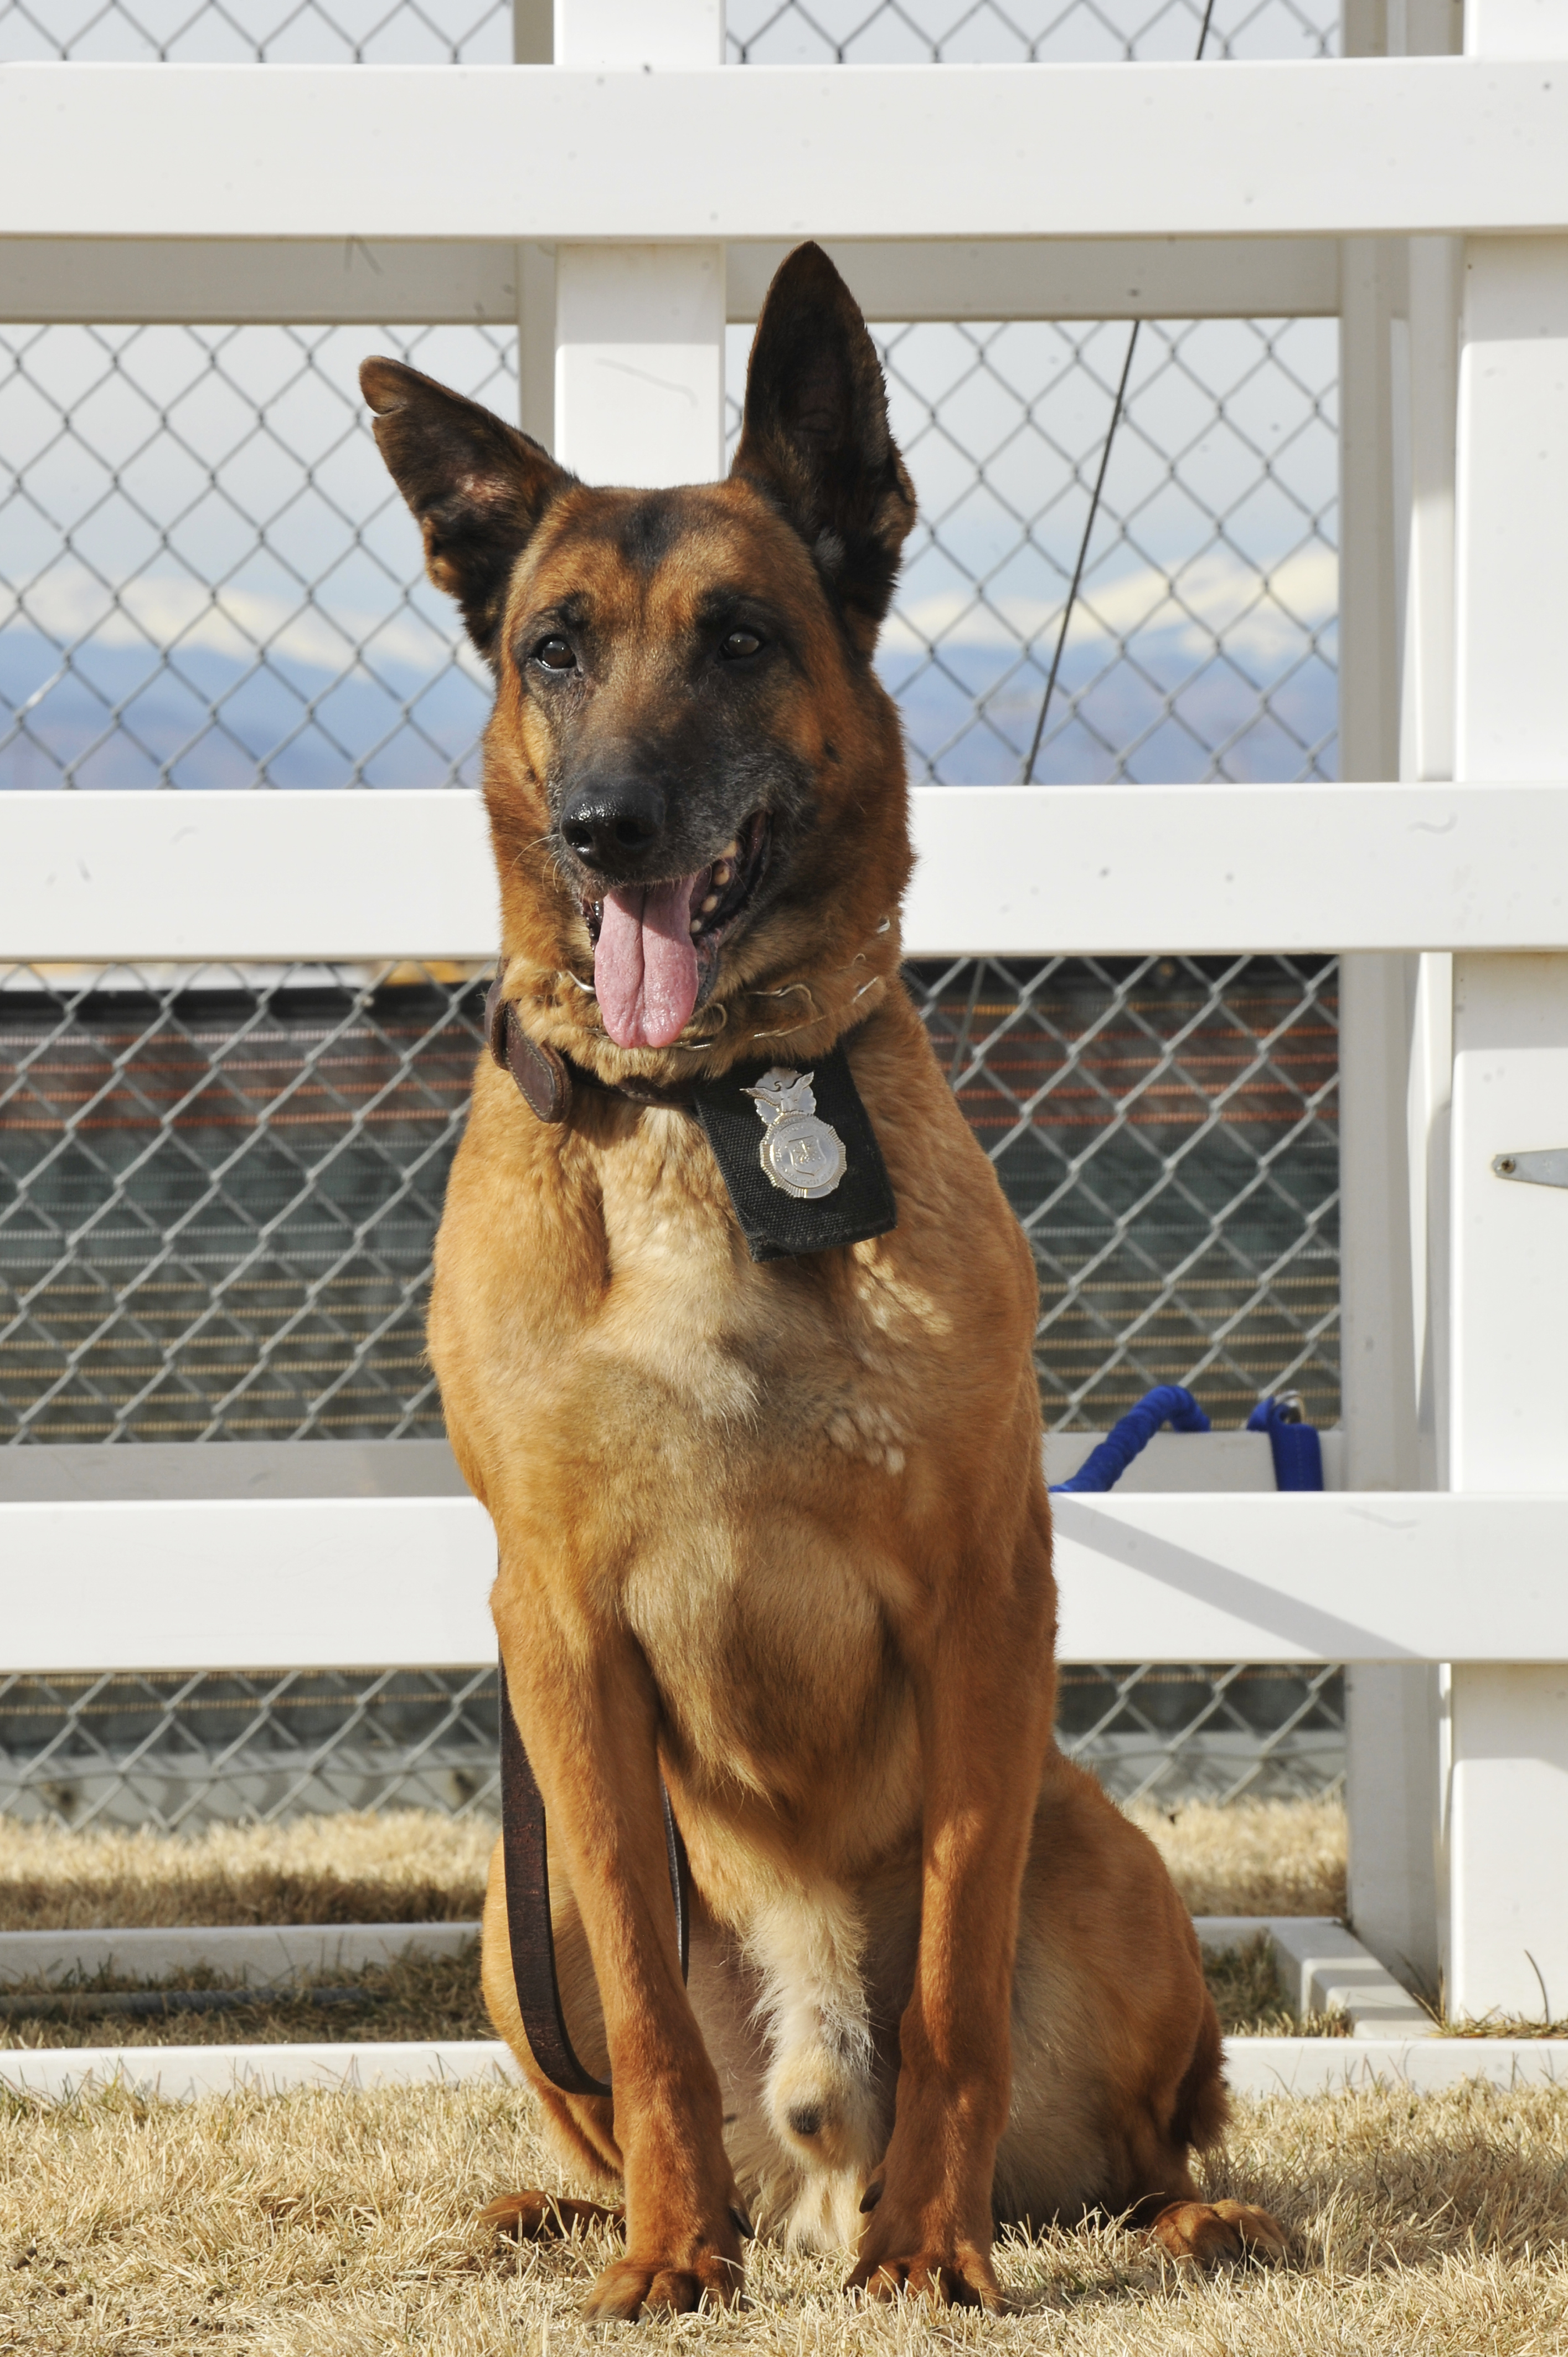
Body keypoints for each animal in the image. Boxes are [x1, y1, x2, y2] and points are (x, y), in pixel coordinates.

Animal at [360, 244, 1282, 2319]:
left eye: (738, 637)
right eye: (553, 646)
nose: (609, 823)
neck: (707, 1109)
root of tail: (813, 2137)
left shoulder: (982, 1598)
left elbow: (950, 1989)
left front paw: (934, 2252)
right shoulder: (557, 1635)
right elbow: (633, 1999)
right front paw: (662, 2255)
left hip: (1104, 1850)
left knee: (1136, 2132)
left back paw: (1169, 2218)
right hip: (511, 1906)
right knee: (623, 2083)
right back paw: (596, 2208)